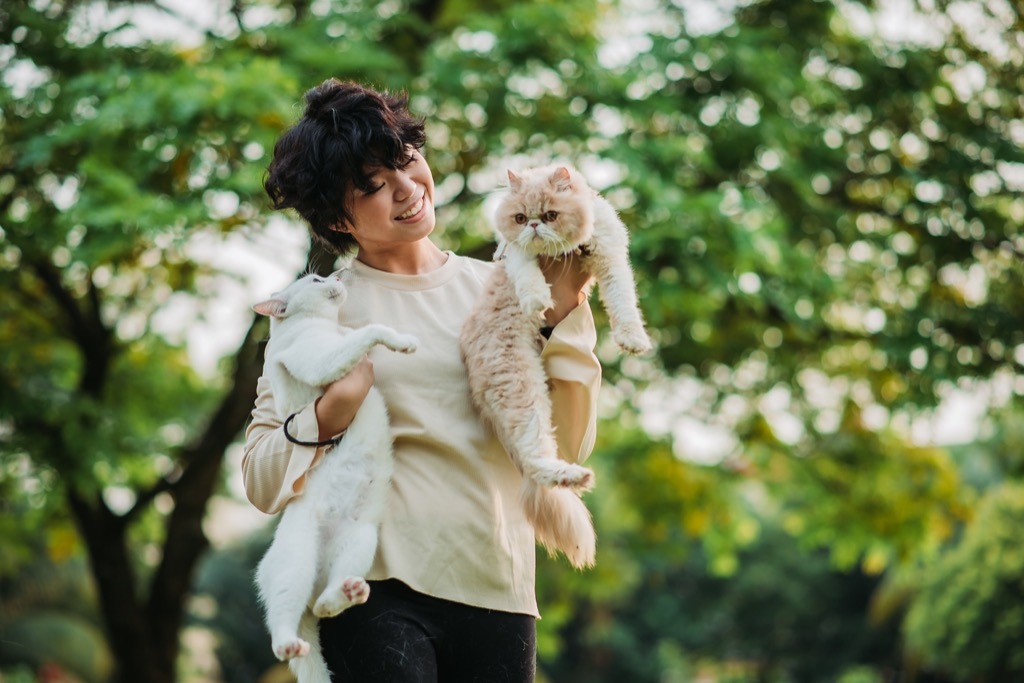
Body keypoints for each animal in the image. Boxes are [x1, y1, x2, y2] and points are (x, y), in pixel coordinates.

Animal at [251, 272, 415, 683]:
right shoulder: (318, 360)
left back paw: (346, 593)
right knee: (283, 618)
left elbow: (358, 335)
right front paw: (403, 341)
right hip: (294, 565)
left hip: (360, 541)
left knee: (325, 602)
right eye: (314, 278)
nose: (336, 275)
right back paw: (288, 642)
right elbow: (370, 332)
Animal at [460, 163, 651, 573]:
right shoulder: (513, 251)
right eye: (520, 218)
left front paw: (633, 339)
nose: (534, 226)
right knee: (536, 458)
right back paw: (575, 477)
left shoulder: (610, 258)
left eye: (549, 215)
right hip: (521, 390)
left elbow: (623, 302)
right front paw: (535, 299)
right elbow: (524, 266)